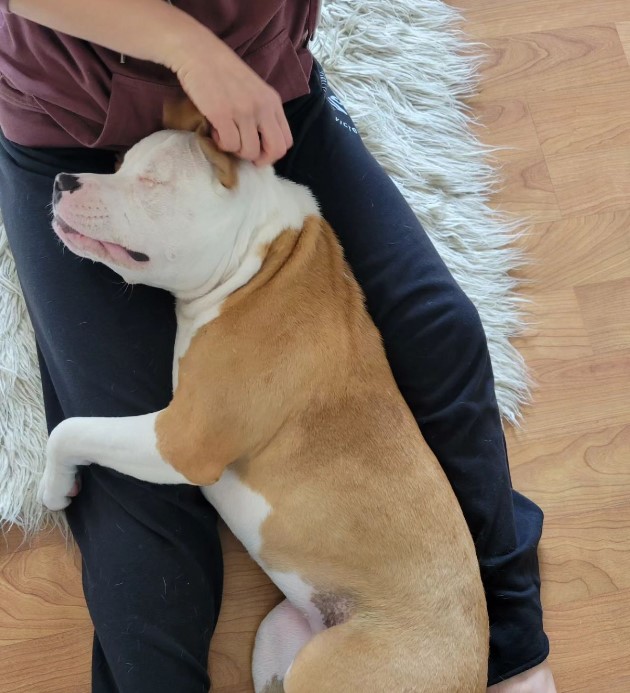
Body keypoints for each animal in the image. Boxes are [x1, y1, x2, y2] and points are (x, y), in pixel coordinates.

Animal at [42, 105, 492, 688]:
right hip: (277, 635)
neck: (258, 262)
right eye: (119, 163)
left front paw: (55, 487)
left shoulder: (181, 440)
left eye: (152, 181)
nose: (62, 180)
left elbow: (68, 428)